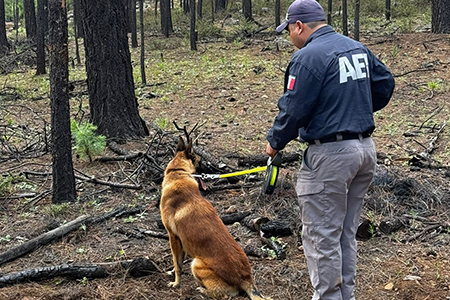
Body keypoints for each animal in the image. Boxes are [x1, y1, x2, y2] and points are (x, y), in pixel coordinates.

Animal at [160, 137, 268, 298]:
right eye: (200, 162)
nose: (211, 170)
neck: (178, 172)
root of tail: (246, 279)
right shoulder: (181, 240)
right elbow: (178, 260)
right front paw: (172, 272)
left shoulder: (173, 236)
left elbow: (177, 263)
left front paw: (176, 283)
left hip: (196, 264)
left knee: (222, 295)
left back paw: (203, 290)